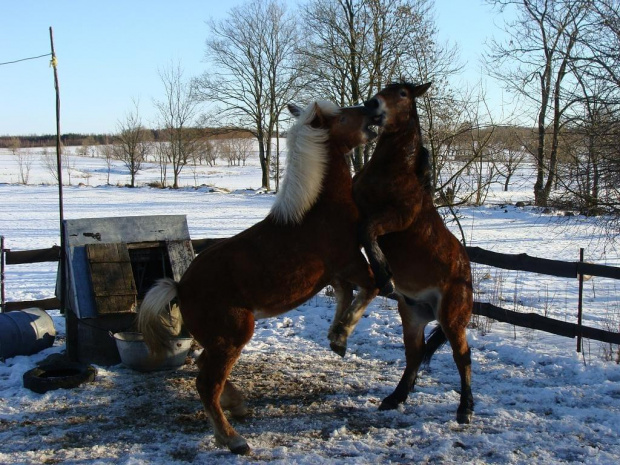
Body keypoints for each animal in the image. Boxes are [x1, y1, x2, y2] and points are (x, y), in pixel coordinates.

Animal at [139, 99, 380, 454]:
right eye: (343, 117)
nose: (372, 109)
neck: (318, 212)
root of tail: (180, 286)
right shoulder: (351, 263)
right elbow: (370, 288)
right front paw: (341, 335)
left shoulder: (334, 275)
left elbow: (346, 296)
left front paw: (337, 337)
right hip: (234, 335)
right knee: (205, 383)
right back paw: (233, 439)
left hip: (218, 340)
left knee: (204, 369)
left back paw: (236, 405)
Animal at [330, 82, 474, 424]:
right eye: (383, 88)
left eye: (404, 94)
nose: (372, 103)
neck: (395, 171)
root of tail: (466, 273)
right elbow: (359, 232)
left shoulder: (395, 218)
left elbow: (367, 231)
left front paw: (385, 275)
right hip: (412, 316)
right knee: (415, 355)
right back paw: (395, 398)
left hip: (452, 318)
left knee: (463, 357)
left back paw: (465, 409)